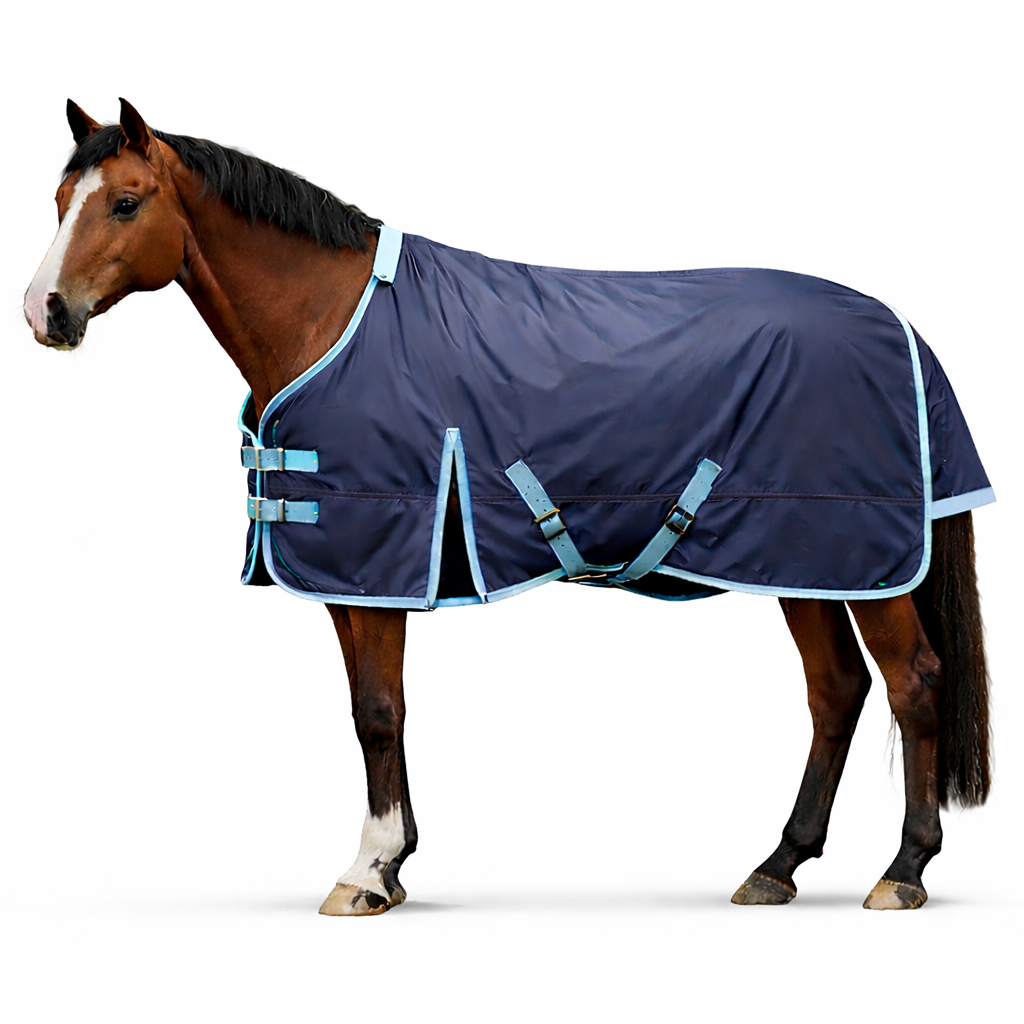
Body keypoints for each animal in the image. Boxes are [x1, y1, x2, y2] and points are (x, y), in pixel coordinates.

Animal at [24, 99, 993, 915]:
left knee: (913, 683)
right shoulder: (354, 576)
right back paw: (777, 865)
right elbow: (375, 709)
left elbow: (378, 712)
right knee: (836, 693)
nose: (46, 311)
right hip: (803, 556)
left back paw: (904, 871)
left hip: (852, 556)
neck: (331, 317)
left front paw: (368, 871)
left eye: (126, 203)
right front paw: (395, 863)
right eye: (63, 197)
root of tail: (905, 329)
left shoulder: (386, 550)